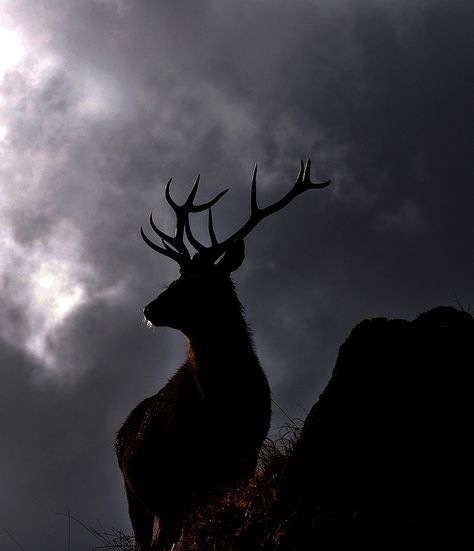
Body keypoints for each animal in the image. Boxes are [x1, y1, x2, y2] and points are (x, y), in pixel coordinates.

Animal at [115, 160, 330, 551]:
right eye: (176, 278)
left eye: (195, 283)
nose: (149, 308)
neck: (219, 404)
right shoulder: (177, 482)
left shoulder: (242, 460)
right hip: (136, 496)